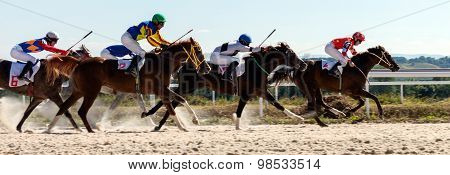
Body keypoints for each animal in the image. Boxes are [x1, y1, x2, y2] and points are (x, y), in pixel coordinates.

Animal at [46, 37, 212, 132]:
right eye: (198, 50)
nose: (207, 68)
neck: (163, 62)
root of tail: (80, 63)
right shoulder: (160, 90)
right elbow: (171, 107)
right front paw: (181, 126)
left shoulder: (159, 90)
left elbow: (181, 100)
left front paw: (194, 120)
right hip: (91, 92)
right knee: (80, 111)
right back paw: (89, 130)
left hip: (79, 91)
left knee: (64, 106)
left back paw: (51, 128)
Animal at [144, 42, 310, 130]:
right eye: (292, 54)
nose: (304, 64)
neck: (257, 67)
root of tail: (184, 65)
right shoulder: (246, 94)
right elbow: (239, 111)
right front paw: (237, 126)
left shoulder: (261, 91)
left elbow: (278, 105)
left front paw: (298, 118)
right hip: (187, 86)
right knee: (172, 102)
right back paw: (160, 123)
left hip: (188, 87)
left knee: (171, 101)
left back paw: (156, 120)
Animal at [268, 45, 400, 126]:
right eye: (388, 55)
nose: (397, 67)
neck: (357, 67)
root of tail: (296, 68)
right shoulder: (354, 90)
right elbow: (373, 97)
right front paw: (381, 113)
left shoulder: (351, 92)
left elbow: (362, 102)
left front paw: (348, 111)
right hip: (308, 87)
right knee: (313, 103)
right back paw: (323, 119)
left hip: (316, 87)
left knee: (320, 102)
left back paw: (336, 114)